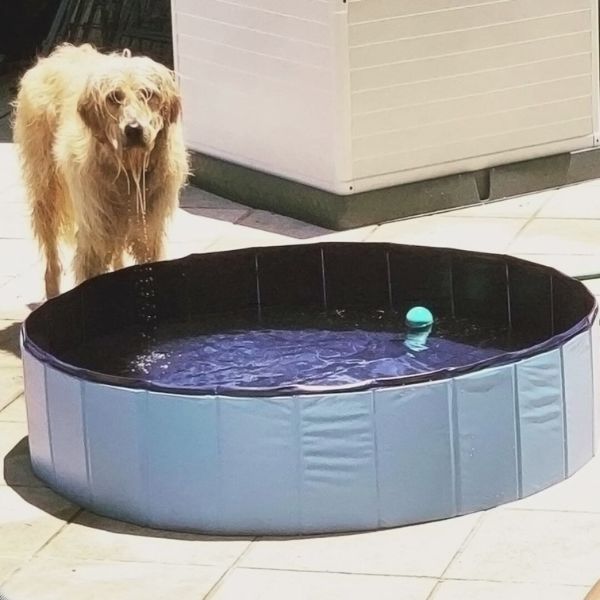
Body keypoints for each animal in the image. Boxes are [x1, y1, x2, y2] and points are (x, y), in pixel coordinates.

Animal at [13, 44, 189, 298]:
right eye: (114, 97)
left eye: (148, 94)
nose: (133, 129)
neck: (127, 170)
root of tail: (53, 55)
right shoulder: (95, 235)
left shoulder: (148, 233)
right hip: (46, 192)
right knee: (51, 255)